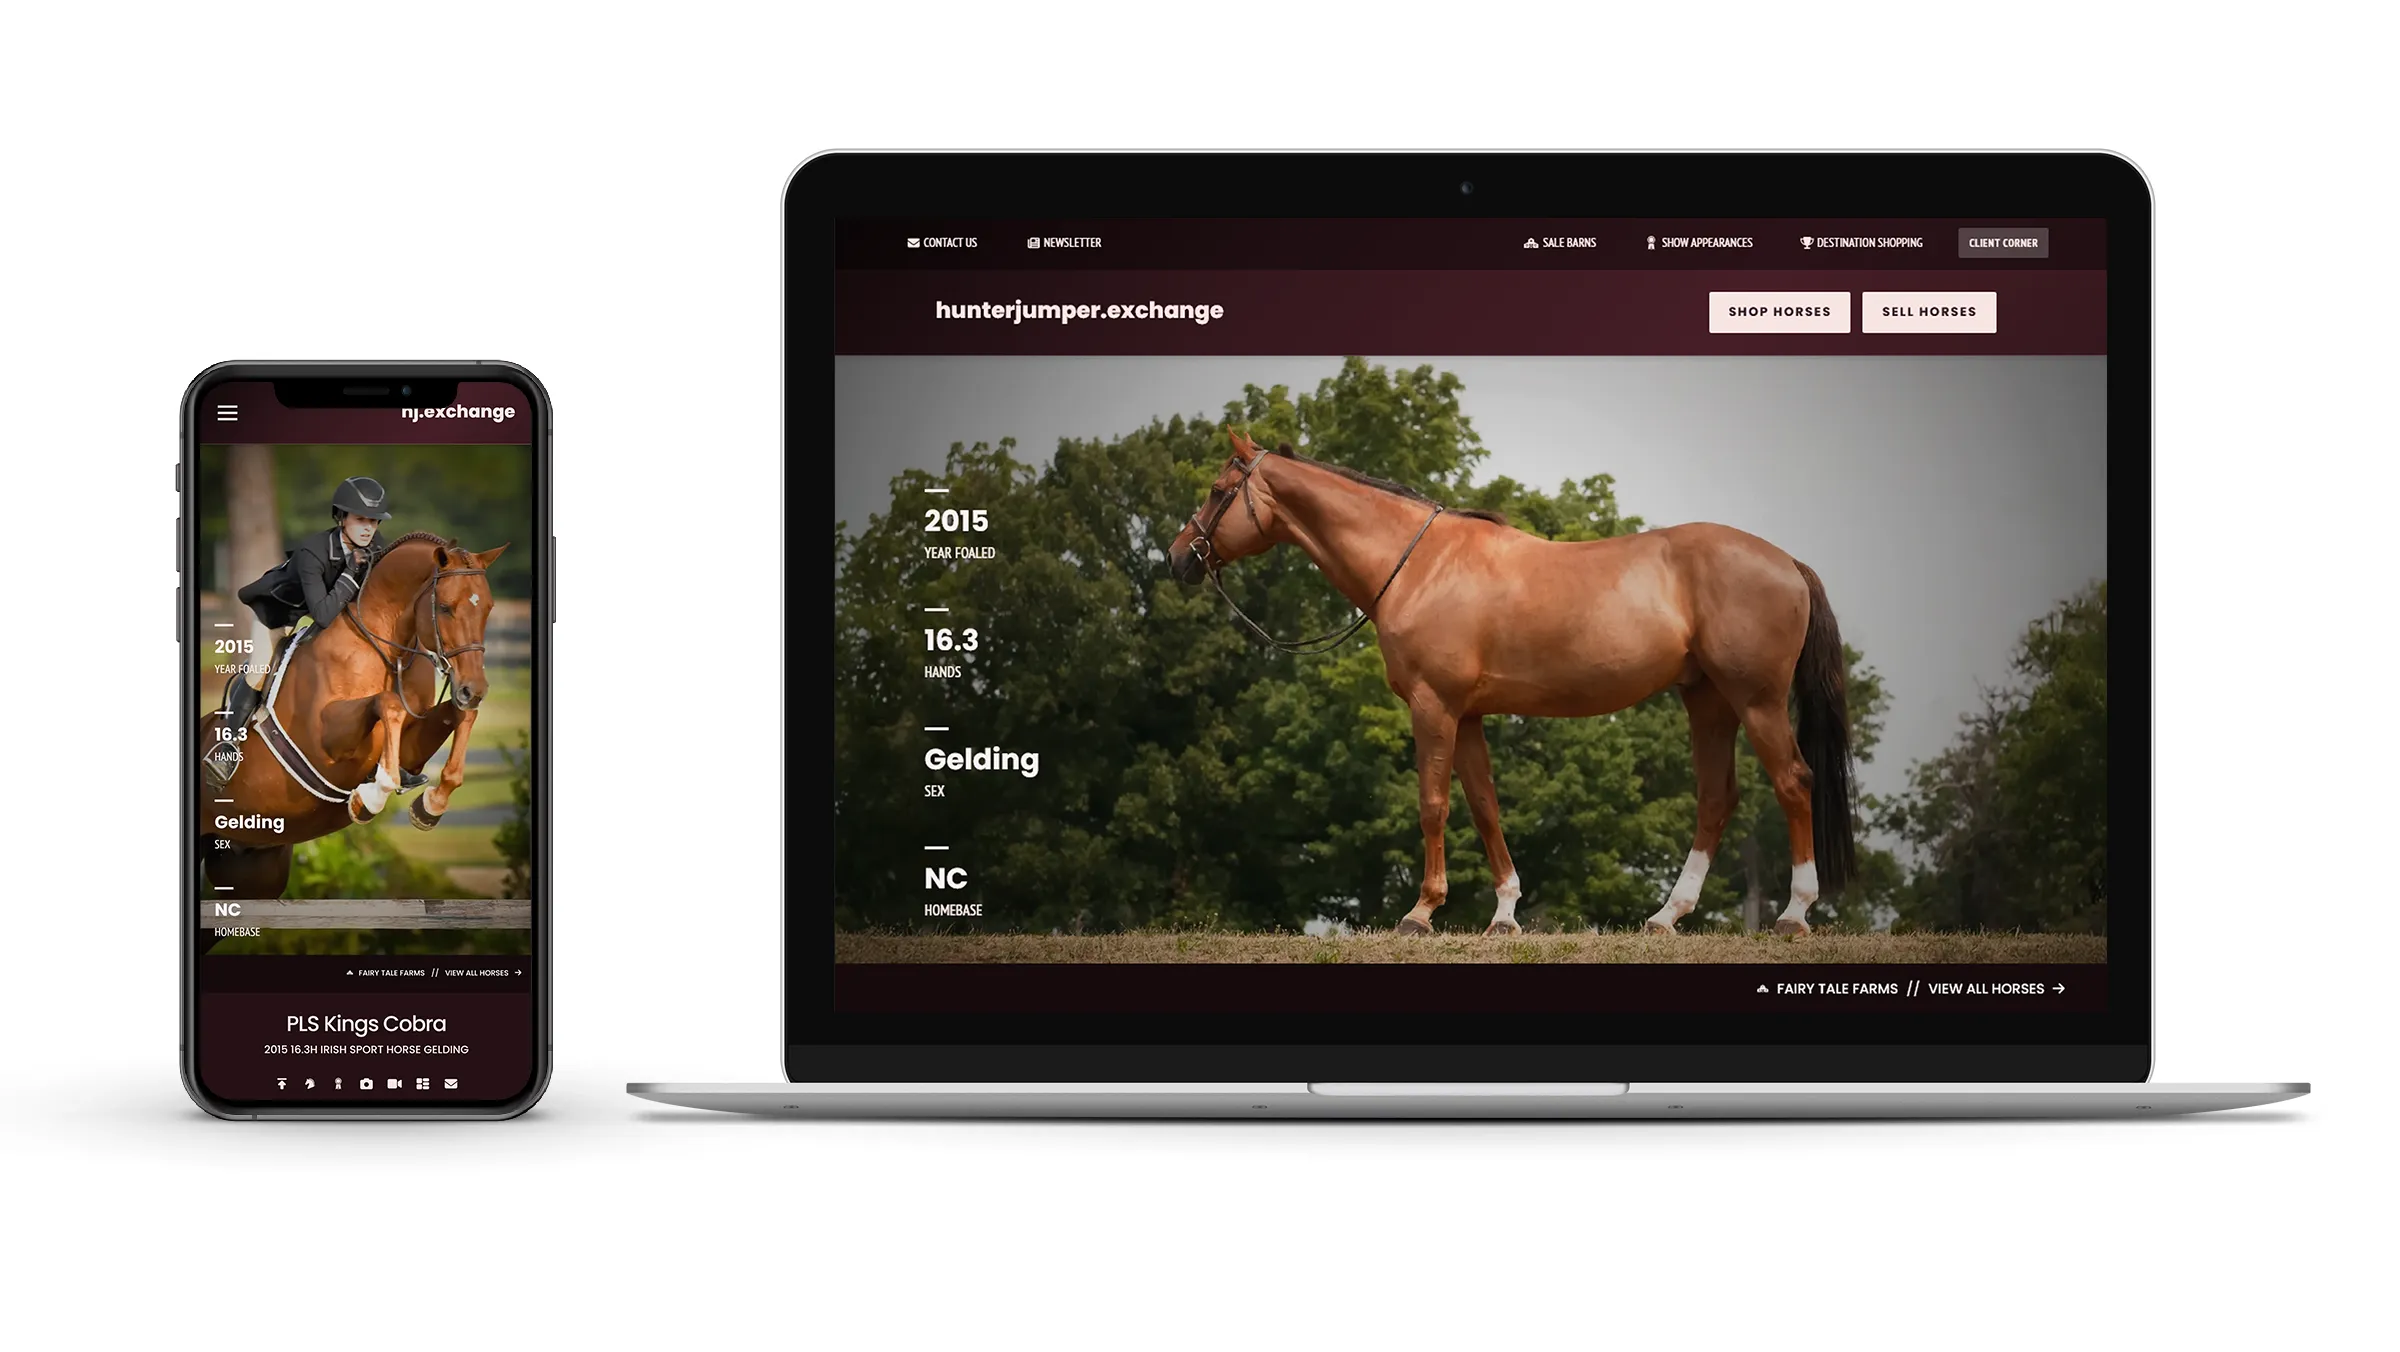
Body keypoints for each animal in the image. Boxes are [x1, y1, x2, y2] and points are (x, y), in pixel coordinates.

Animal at [197, 533, 509, 899]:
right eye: (445, 607)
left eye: (487, 608)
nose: (473, 690)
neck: (388, 647)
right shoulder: (326, 743)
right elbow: (388, 704)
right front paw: (370, 798)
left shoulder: (413, 747)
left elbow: (460, 717)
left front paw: (430, 805)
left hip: (252, 866)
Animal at [1167, 430, 1853, 937]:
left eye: (1218, 490)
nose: (1177, 559)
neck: (1419, 564)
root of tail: (1787, 562)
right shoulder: (1467, 715)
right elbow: (1485, 806)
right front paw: (1503, 913)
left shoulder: (1433, 707)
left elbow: (1434, 804)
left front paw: (1420, 913)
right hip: (1707, 699)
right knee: (1715, 798)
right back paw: (1666, 916)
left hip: (1756, 701)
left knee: (1794, 782)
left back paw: (1794, 915)